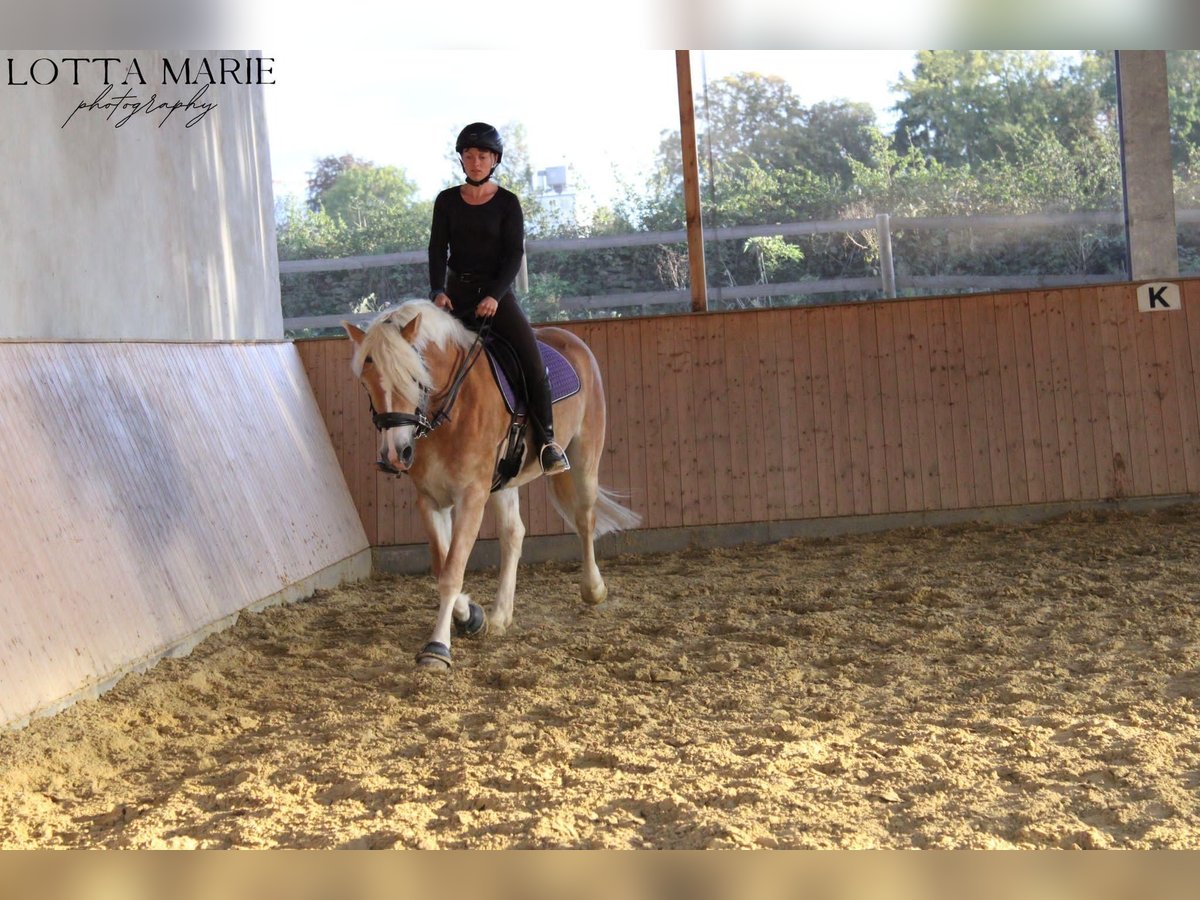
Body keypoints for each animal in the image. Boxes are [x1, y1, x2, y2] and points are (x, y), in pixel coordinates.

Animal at [345, 301, 648, 672]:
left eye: (416, 379)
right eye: (365, 383)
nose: (395, 455)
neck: (451, 408)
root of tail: (570, 338)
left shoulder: (472, 496)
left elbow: (452, 571)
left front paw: (437, 648)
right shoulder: (431, 500)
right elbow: (442, 564)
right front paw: (471, 617)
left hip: (585, 456)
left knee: (584, 519)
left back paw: (593, 589)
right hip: (504, 483)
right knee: (513, 533)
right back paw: (501, 615)